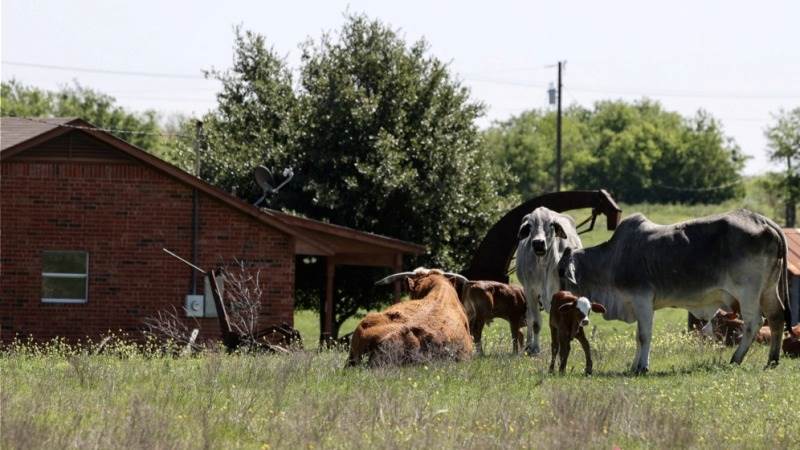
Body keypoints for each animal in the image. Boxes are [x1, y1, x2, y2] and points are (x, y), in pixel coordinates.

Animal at [520, 207, 580, 356]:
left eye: (552, 224)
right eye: (530, 225)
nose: (538, 243)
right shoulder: (530, 291)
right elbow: (535, 323)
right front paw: (535, 349)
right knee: (529, 317)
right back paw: (528, 345)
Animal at [560, 211, 792, 372]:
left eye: (561, 272)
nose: (559, 297)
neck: (614, 258)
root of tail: (762, 220)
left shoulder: (642, 299)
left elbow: (644, 336)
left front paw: (642, 367)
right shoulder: (639, 304)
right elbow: (638, 337)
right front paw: (635, 365)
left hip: (748, 293)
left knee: (754, 322)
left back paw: (736, 359)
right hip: (769, 289)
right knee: (776, 317)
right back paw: (772, 360)